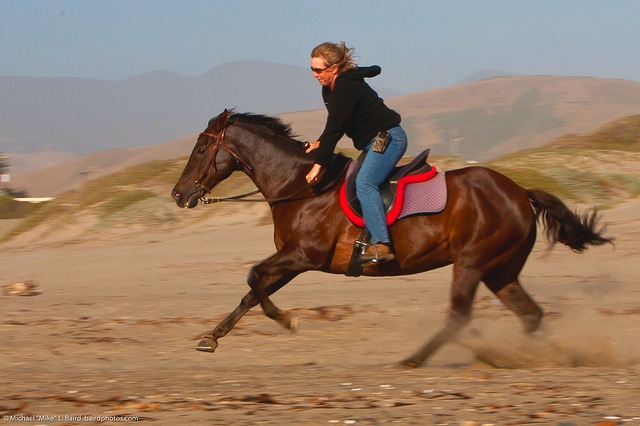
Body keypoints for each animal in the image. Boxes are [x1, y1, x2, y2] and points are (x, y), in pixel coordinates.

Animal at [171, 109, 612, 367]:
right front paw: (211, 338)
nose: (178, 194)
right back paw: (548, 357)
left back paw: (413, 360)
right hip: (500, 271)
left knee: (459, 316)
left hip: (472, 264)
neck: (300, 185)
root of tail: (520, 192)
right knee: (530, 315)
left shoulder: (303, 256)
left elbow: (252, 278)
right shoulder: (294, 261)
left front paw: (287, 320)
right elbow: (251, 292)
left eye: (200, 149)